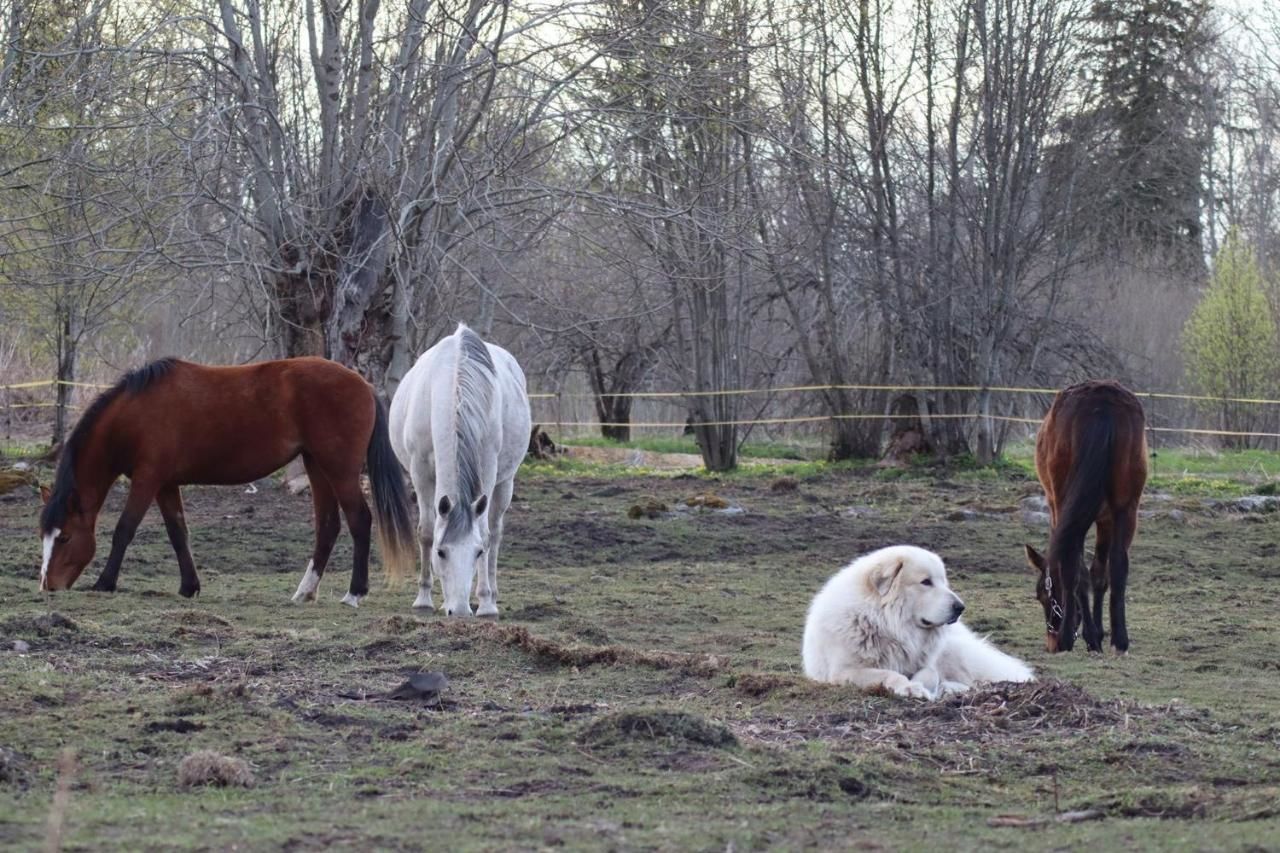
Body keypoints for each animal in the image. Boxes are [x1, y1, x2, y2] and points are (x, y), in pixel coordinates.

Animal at [37, 356, 412, 601]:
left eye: (65, 537)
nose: (48, 586)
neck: (135, 414)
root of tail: (362, 384)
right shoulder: (165, 484)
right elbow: (178, 533)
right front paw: (189, 587)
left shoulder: (147, 480)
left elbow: (124, 530)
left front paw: (105, 583)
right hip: (317, 466)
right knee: (329, 526)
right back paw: (305, 592)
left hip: (340, 469)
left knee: (360, 520)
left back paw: (355, 593)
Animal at [389, 322, 529, 614]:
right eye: (441, 552)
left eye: (477, 552)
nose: (461, 611)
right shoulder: (420, 472)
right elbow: (426, 531)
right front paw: (423, 599)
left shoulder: (487, 468)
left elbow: (486, 534)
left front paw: (486, 604)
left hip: (505, 483)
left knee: (496, 532)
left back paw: (491, 595)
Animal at [803, 545, 1034, 696]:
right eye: (926, 582)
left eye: (943, 582)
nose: (960, 608)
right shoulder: (846, 671)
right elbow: (888, 673)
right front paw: (908, 687)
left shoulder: (927, 662)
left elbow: (930, 673)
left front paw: (924, 687)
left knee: (974, 682)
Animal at [1018, 379, 1152, 650]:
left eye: (1042, 595)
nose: (1051, 642)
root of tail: (1103, 402)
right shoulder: (1106, 519)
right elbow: (1099, 573)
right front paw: (1098, 633)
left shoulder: (1058, 511)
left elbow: (1078, 572)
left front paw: (1089, 635)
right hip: (1127, 508)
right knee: (1119, 564)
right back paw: (1119, 641)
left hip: (1064, 503)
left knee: (1074, 566)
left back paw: (1073, 637)